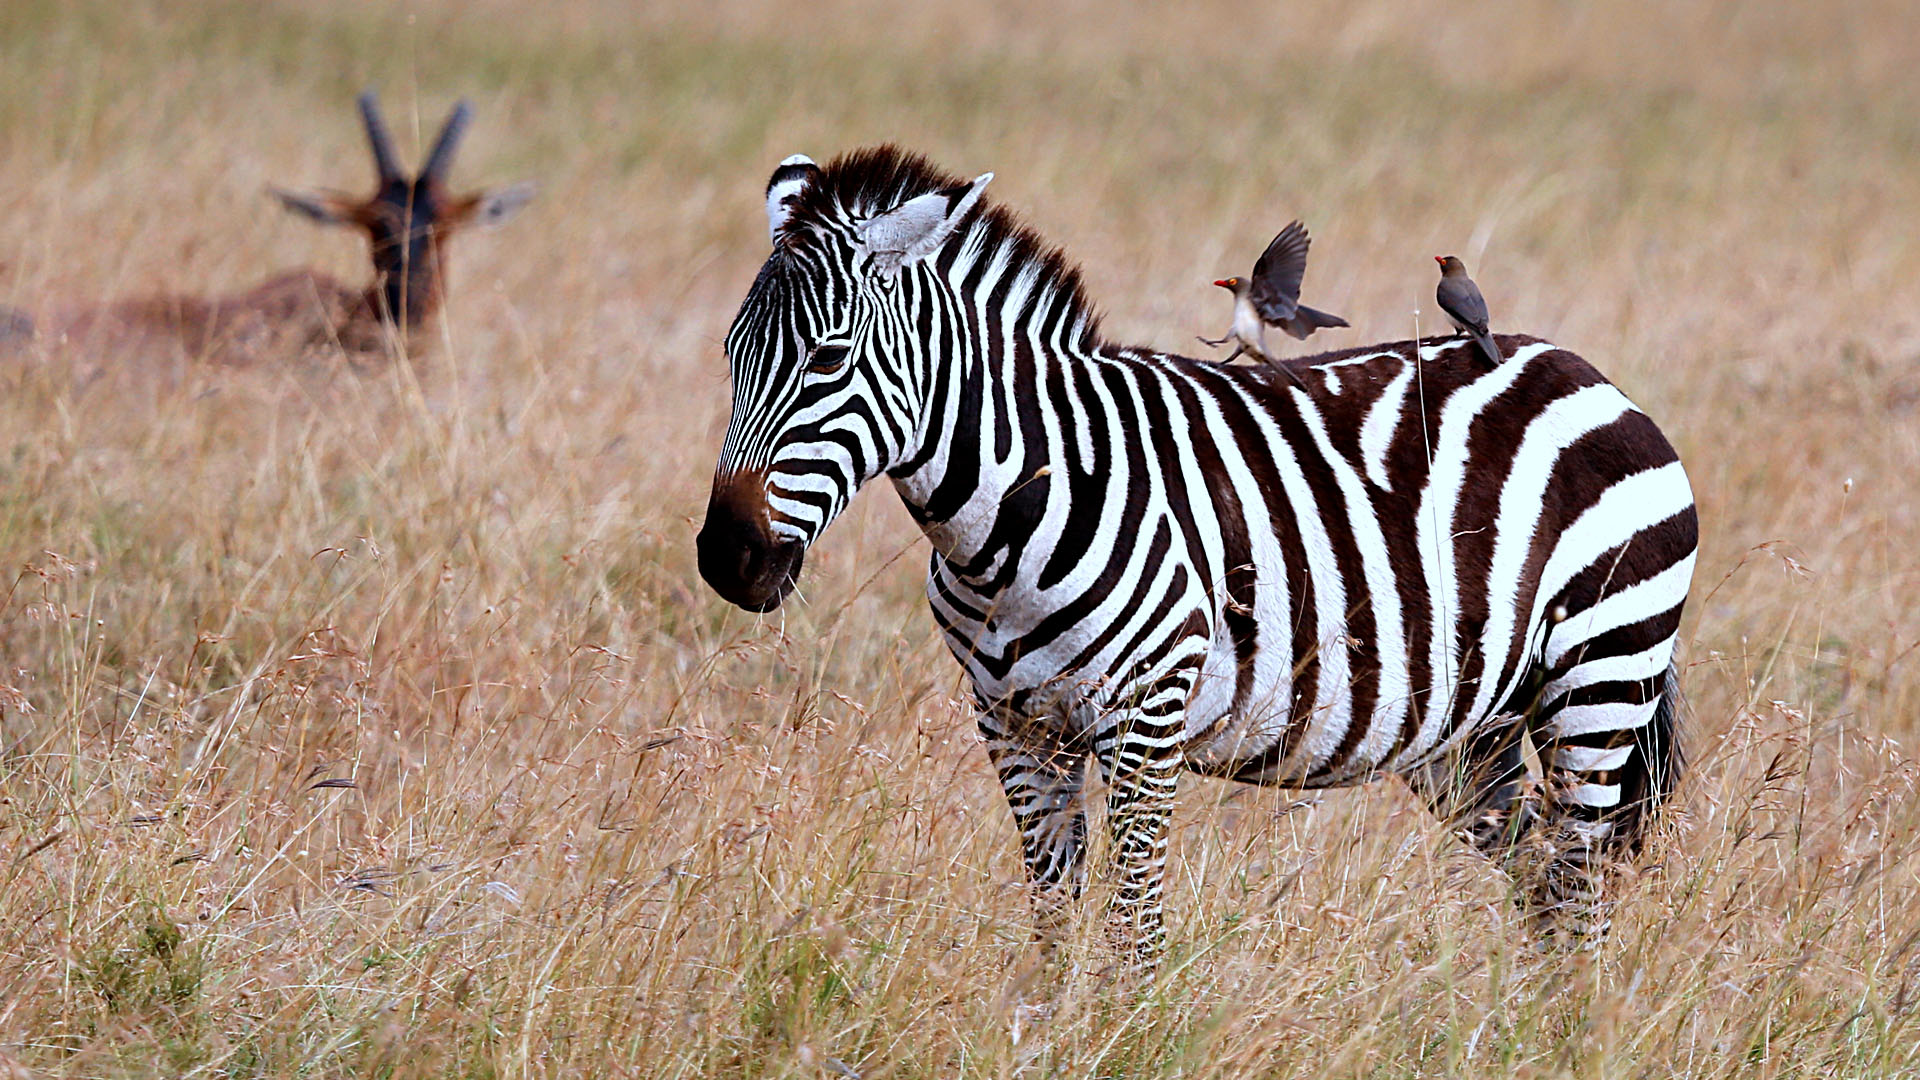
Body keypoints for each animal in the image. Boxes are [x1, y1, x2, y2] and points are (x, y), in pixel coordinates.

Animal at [698, 147, 1704, 960]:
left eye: (829, 359)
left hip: (1600, 674)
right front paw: (1053, 1032)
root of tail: (1581, 370)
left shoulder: (1145, 720)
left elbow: (1135, 922)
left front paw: (1125, 1035)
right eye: (731, 354)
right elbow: (1053, 920)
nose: (726, 558)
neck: (1009, 523)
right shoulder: (1012, 727)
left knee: (1579, 881)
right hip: (1466, 728)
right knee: (1543, 878)